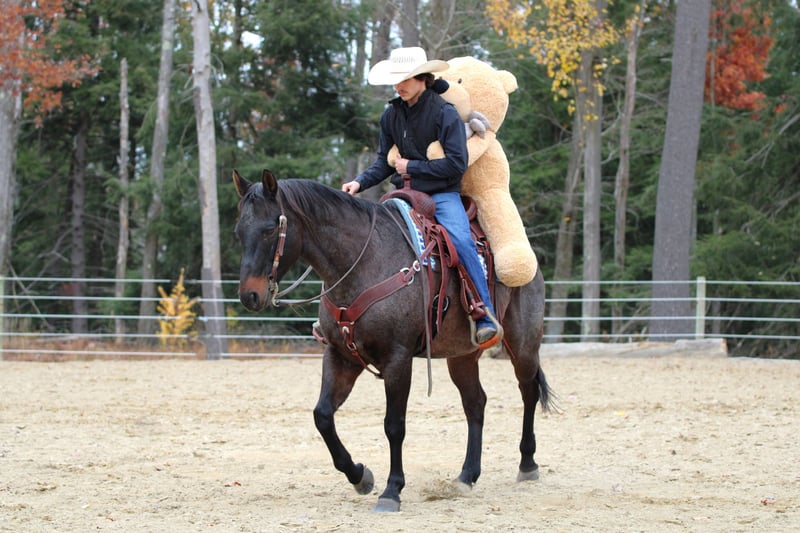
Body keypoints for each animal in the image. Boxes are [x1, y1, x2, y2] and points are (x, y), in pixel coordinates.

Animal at [233, 168, 552, 513]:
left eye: (269, 230)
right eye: (239, 231)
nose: (250, 296)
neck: (363, 262)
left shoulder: (397, 359)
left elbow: (394, 425)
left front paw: (392, 490)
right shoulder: (340, 355)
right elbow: (323, 416)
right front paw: (360, 476)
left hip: (523, 345)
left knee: (528, 392)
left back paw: (527, 464)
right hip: (462, 355)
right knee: (475, 402)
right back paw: (467, 476)